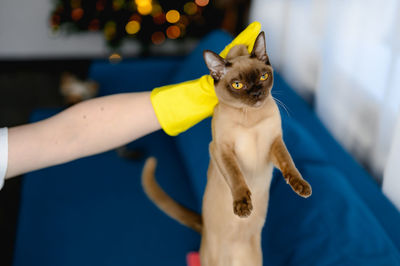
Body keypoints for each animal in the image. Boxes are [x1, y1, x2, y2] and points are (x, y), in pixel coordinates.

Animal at [141, 31, 312, 266]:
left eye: (263, 77)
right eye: (238, 85)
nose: (257, 93)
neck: (250, 118)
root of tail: (203, 229)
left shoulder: (274, 143)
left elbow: (289, 164)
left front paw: (301, 187)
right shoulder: (221, 149)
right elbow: (236, 175)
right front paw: (243, 207)